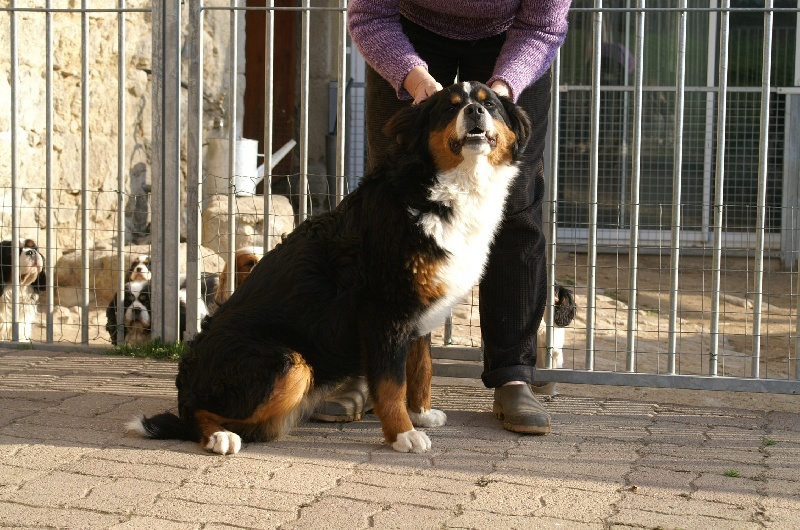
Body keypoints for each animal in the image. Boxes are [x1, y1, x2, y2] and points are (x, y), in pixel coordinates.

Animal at [130, 82, 532, 454]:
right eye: (450, 108)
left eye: (490, 104)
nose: (475, 110)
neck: (441, 190)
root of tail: (188, 372)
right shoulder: (385, 311)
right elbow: (391, 383)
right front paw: (403, 433)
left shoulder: (417, 314)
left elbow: (421, 370)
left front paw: (420, 414)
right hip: (289, 363)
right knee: (193, 412)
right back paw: (219, 436)